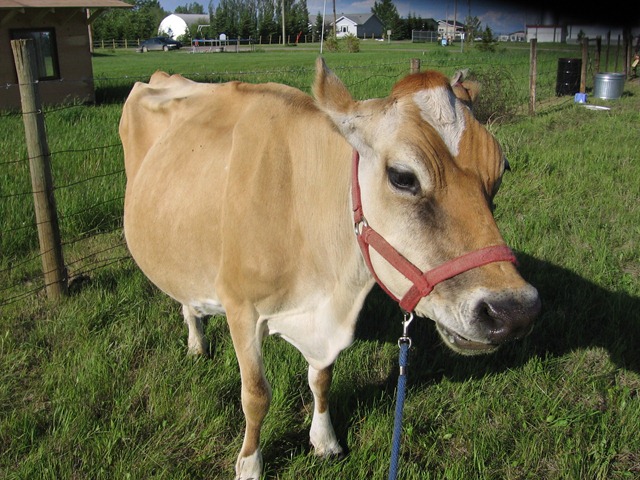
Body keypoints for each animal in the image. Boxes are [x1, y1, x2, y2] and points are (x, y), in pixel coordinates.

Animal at [120, 58, 541, 479]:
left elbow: (321, 378)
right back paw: (196, 342)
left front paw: (324, 439)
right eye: (402, 176)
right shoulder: (241, 309)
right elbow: (255, 395)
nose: (513, 311)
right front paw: (250, 463)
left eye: (501, 170)